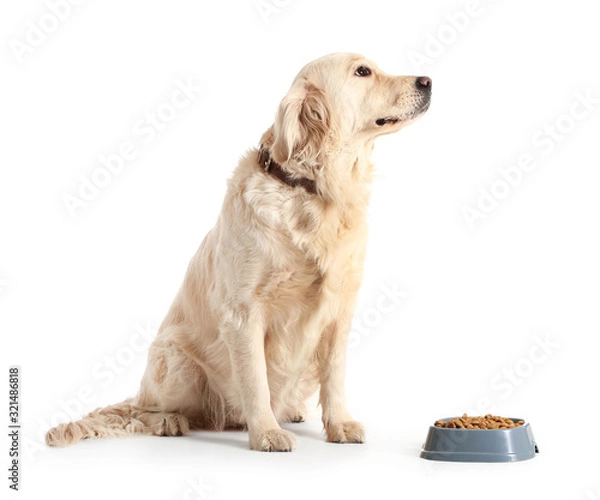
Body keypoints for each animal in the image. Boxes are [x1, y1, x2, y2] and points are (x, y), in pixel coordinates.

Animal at [47, 52, 432, 452]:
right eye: (362, 72)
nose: (428, 81)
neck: (314, 189)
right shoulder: (244, 313)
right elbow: (255, 379)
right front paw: (266, 433)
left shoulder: (339, 309)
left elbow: (335, 376)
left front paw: (339, 424)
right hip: (176, 360)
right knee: (143, 410)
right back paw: (170, 420)